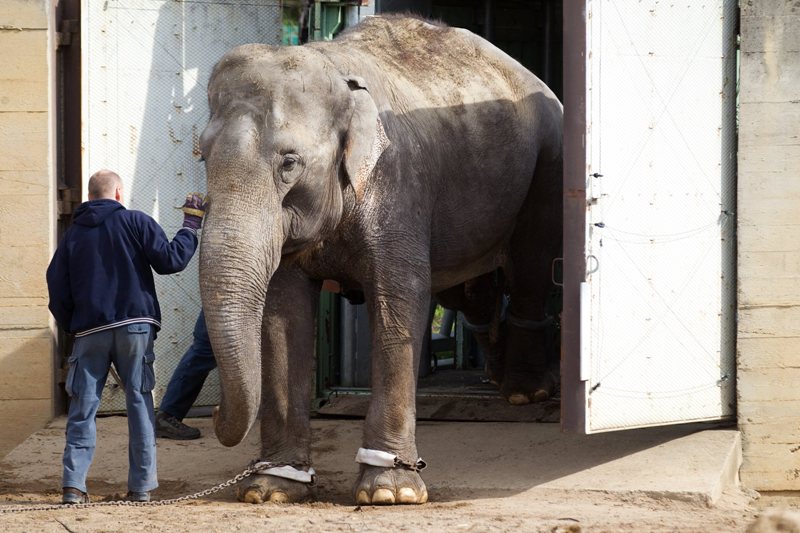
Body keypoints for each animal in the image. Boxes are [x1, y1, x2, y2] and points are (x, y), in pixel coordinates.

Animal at [198, 12, 564, 502]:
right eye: (202, 155)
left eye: (289, 163)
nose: (215, 412)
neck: (334, 68)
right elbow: (281, 315)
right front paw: (271, 489)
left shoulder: (397, 184)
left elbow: (400, 301)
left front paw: (391, 493)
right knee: (473, 295)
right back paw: (498, 378)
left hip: (548, 160)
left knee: (529, 266)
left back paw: (525, 393)